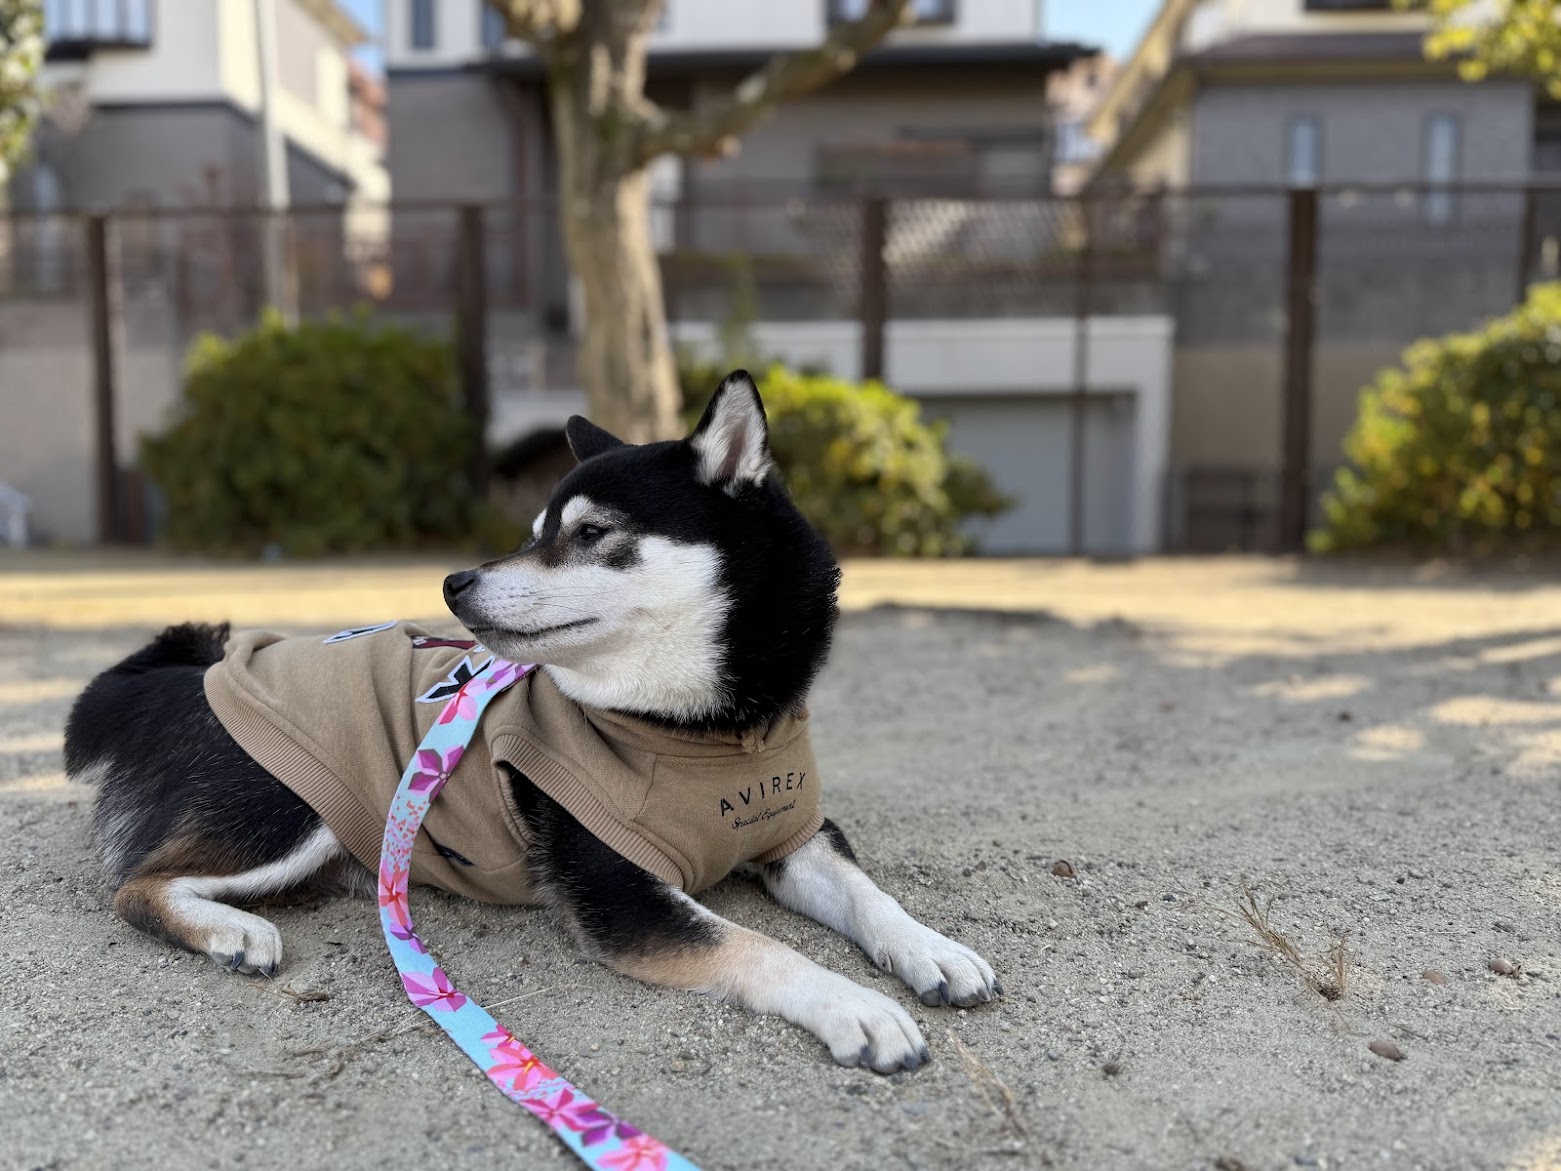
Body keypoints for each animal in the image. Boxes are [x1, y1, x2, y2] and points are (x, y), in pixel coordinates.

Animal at [64, 371, 999, 1080]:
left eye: (589, 534)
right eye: (535, 533)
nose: (454, 581)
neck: (703, 732)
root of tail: (183, 680)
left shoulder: (795, 835)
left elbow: (870, 896)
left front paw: (933, 950)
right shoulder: (625, 899)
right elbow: (764, 949)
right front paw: (857, 1006)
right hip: (292, 810)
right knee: (137, 885)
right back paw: (232, 931)